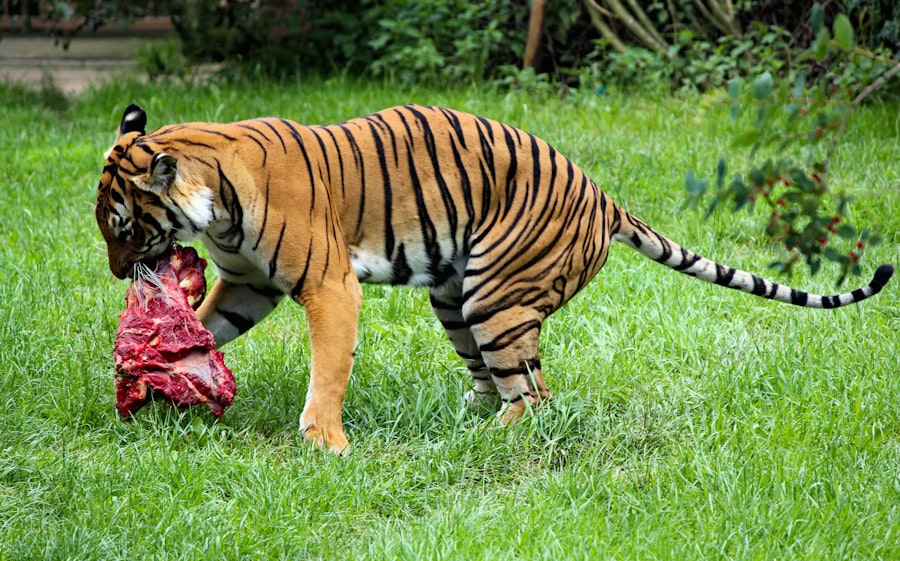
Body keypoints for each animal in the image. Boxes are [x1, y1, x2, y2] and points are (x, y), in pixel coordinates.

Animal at [95, 103, 894, 454]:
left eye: (122, 227)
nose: (116, 272)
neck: (214, 201)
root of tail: (605, 197)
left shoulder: (329, 286)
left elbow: (328, 369)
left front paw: (325, 441)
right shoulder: (249, 283)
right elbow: (209, 333)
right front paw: (156, 372)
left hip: (494, 294)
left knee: (535, 397)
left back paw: (481, 439)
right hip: (453, 295)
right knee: (497, 381)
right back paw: (460, 418)